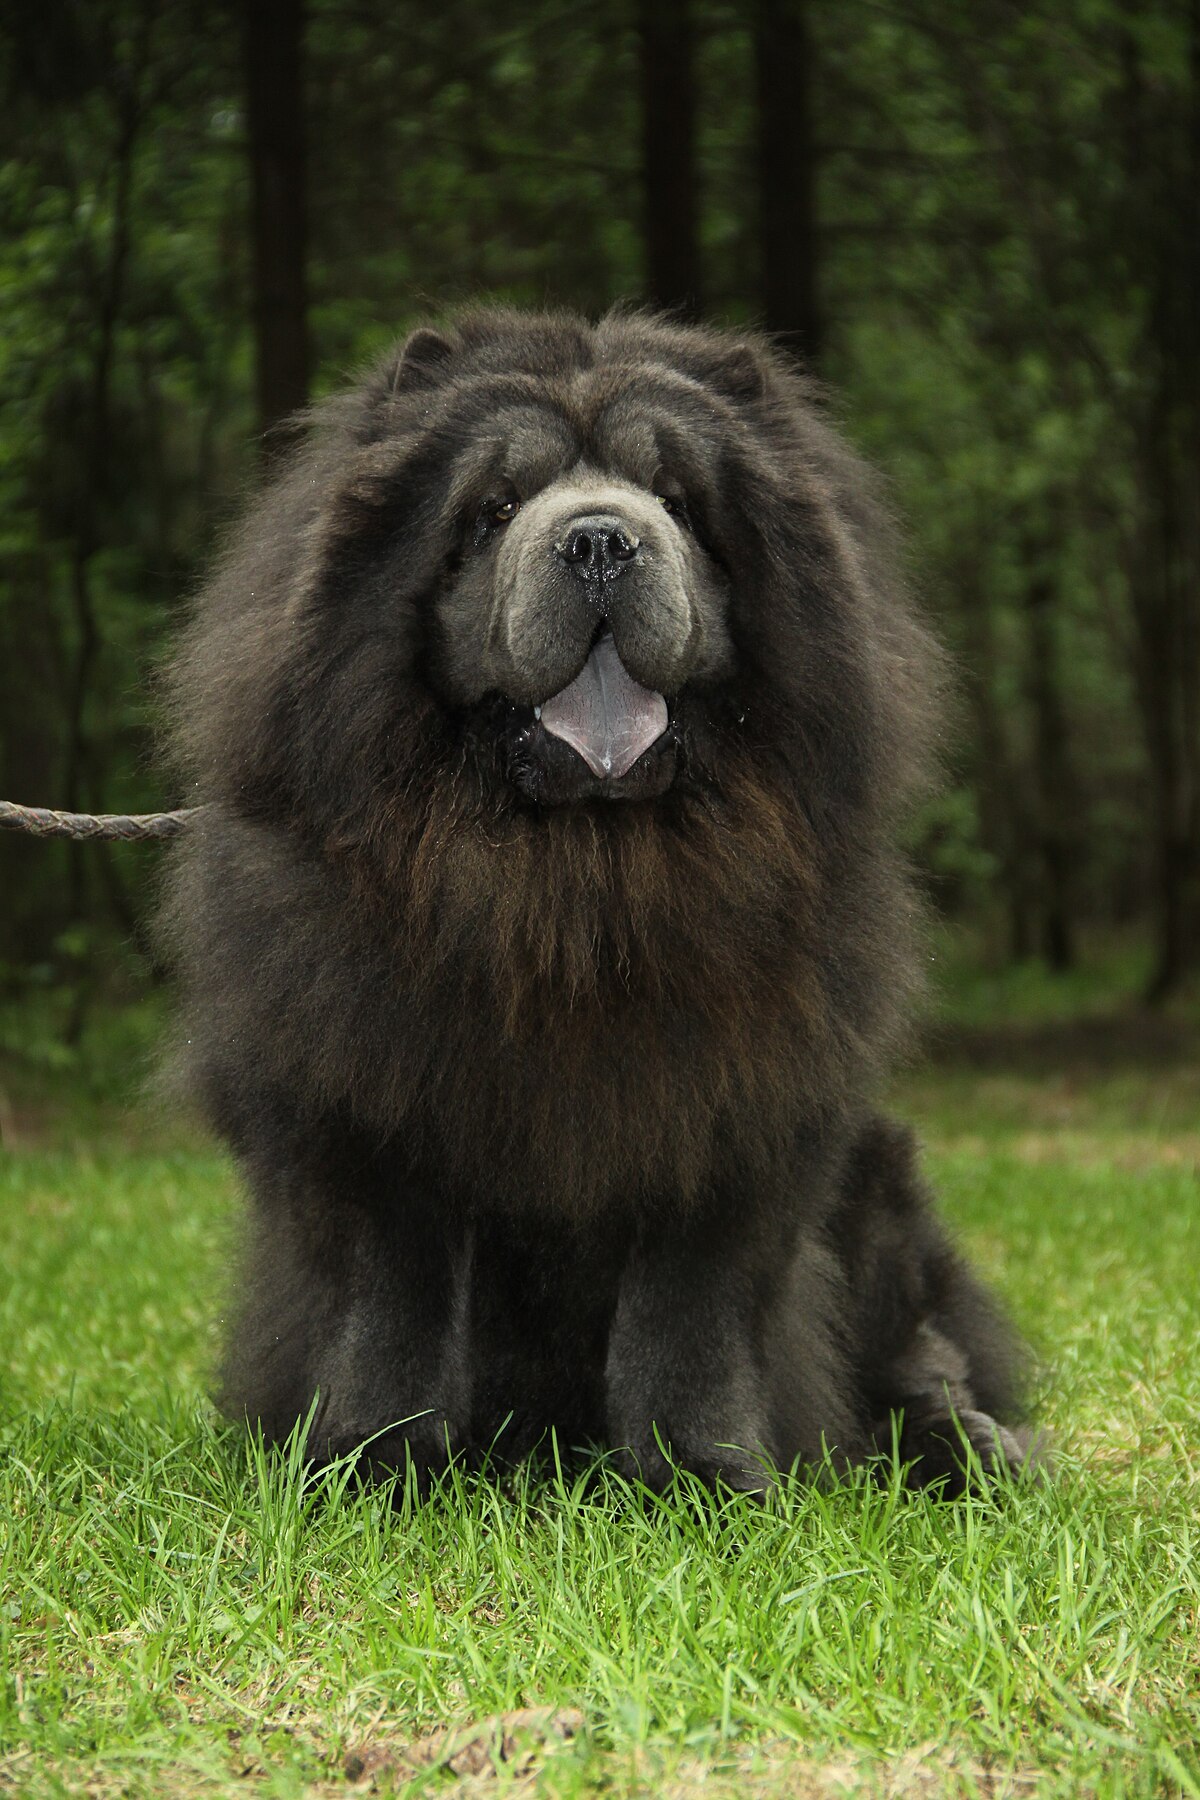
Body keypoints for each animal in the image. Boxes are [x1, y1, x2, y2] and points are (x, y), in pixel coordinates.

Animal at [161, 306, 1036, 1490]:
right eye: (493, 509)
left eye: (677, 500)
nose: (598, 541)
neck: (579, 889)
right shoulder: (364, 1109)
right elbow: (391, 1307)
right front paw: (375, 1470)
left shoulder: (734, 1116)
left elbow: (687, 1317)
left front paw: (705, 1481)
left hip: (876, 1181)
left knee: (919, 1351)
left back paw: (979, 1450)